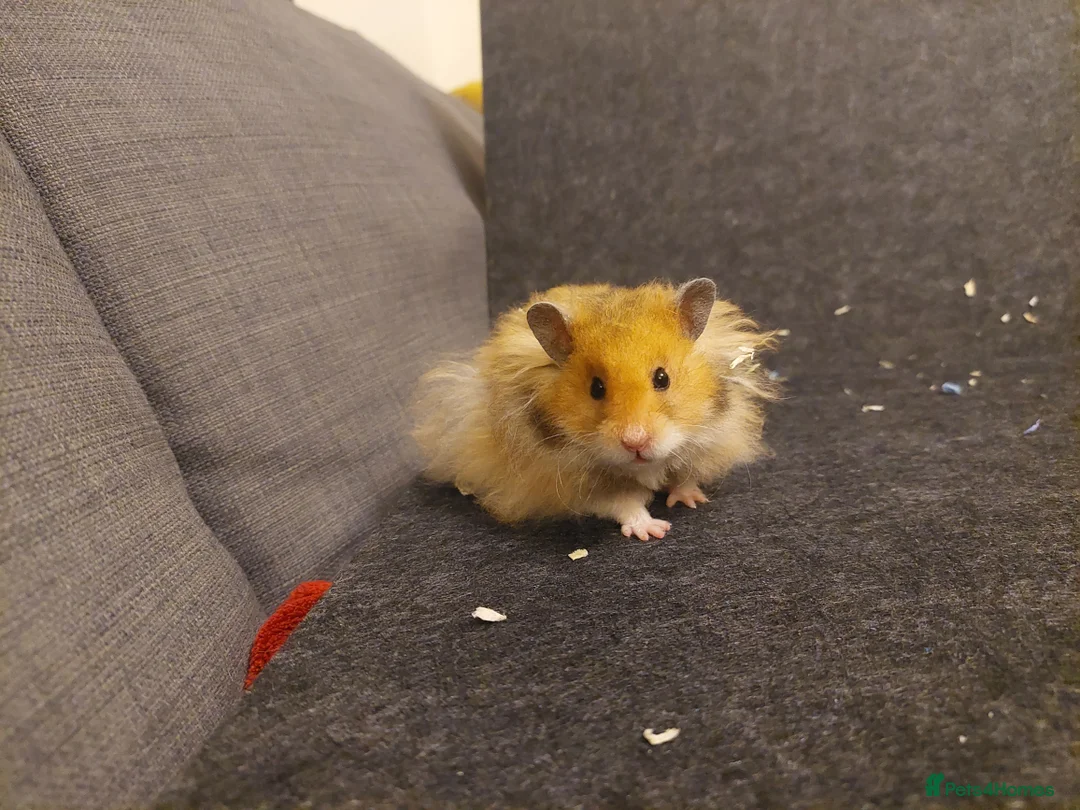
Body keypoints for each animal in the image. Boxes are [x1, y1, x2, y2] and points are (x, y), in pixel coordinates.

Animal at [410, 278, 781, 541]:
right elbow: (624, 503)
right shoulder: (574, 485)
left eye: (662, 378)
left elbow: (684, 474)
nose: (635, 443)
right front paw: (654, 530)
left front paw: (690, 500)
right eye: (596, 388)